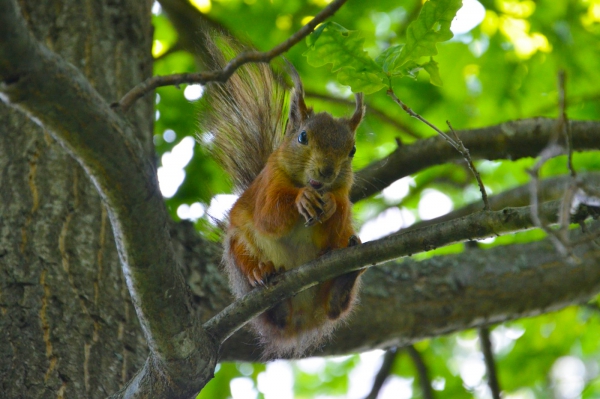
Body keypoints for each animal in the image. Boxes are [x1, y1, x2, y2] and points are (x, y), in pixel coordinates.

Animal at [202, 40, 364, 360]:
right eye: (302, 137)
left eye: (351, 151)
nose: (327, 171)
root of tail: (301, 319)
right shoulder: (268, 185)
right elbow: (269, 216)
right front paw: (302, 200)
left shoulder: (343, 195)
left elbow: (335, 223)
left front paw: (330, 206)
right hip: (238, 252)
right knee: (268, 304)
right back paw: (260, 273)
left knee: (335, 307)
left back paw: (345, 277)